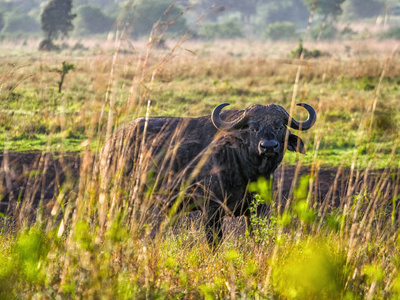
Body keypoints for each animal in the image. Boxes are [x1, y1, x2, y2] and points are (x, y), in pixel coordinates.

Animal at [100, 102, 316, 245]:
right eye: (253, 128)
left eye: (279, 126)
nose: (269, 146)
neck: (247, 171)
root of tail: (110, 143)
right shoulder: (211, 209)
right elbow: (215, 242)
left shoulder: (258, 208)